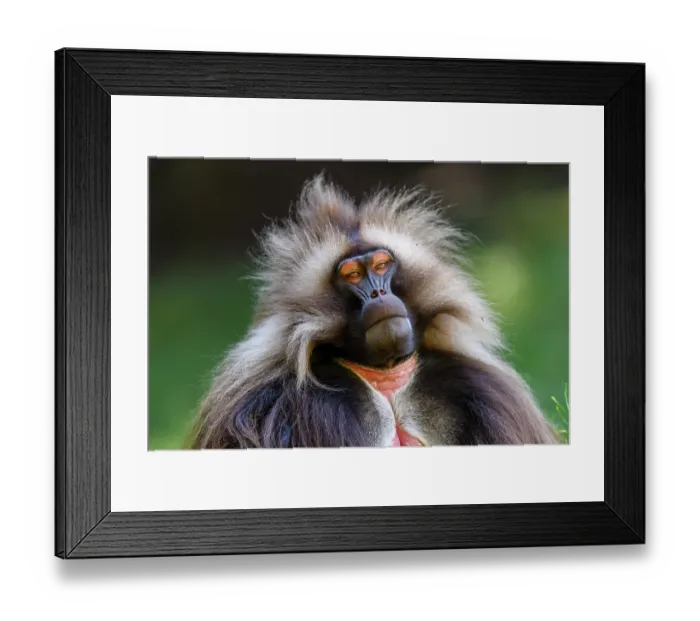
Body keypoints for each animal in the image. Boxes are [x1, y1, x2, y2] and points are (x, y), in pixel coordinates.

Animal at [189, 175, 558, 449]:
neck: (386, 380)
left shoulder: (488, 391)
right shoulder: (265, 404)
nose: (379, 294)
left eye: (381, 266)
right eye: (352, 274)